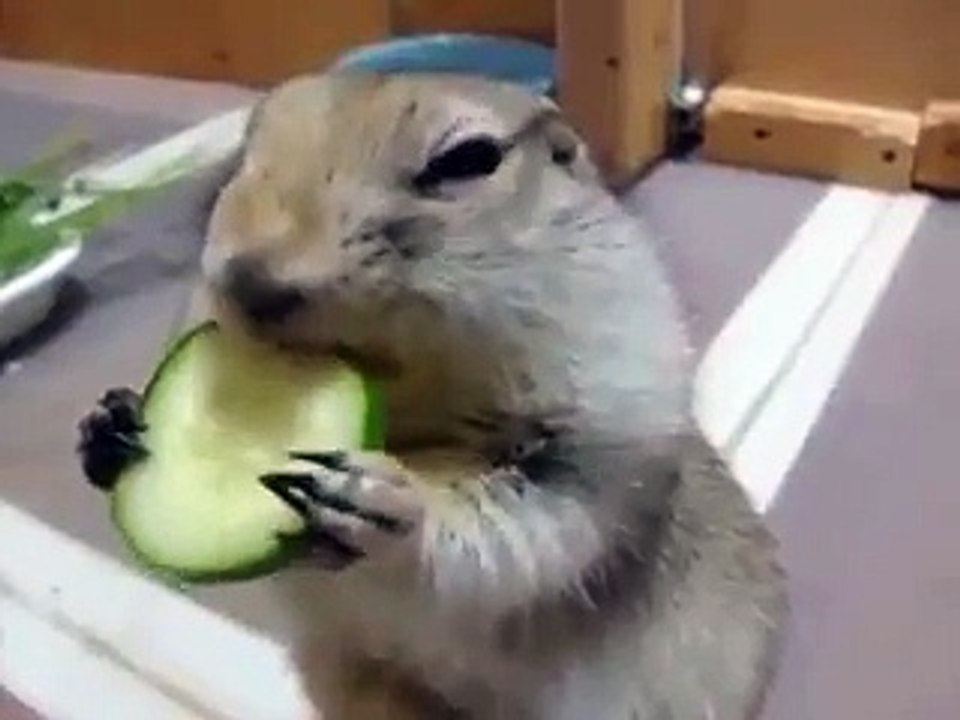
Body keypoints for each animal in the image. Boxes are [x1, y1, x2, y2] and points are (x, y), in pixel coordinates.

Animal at [78, 72, 788, 719]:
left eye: (467, 159)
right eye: (241, 155)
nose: (249, 280)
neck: (409, 411)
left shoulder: (603, 429)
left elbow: (528, 524)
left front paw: (380, 495)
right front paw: (111, 424)